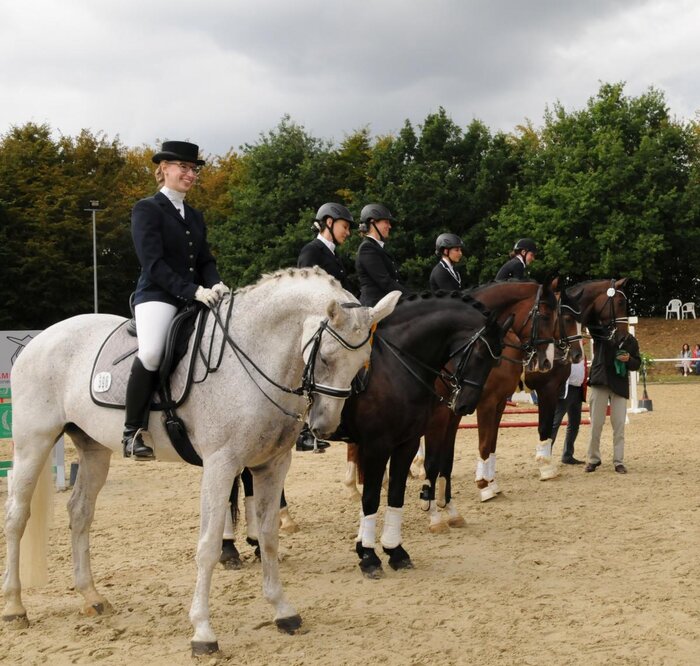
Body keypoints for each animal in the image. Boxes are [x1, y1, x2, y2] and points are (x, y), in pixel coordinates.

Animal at [2, 268, 400, 652]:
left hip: (94, 448)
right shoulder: (221, 465)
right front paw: (203, 632)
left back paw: (92, 596)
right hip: (34, 442)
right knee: (17, 516)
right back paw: (15, 608)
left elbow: (269, 537)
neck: (253, 356)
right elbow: (208, 546)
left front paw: (283, 611)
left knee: (80, 512)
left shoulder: (272, 465)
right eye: (326, 357)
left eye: (362, 364)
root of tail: (38, 340)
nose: (324, 426)